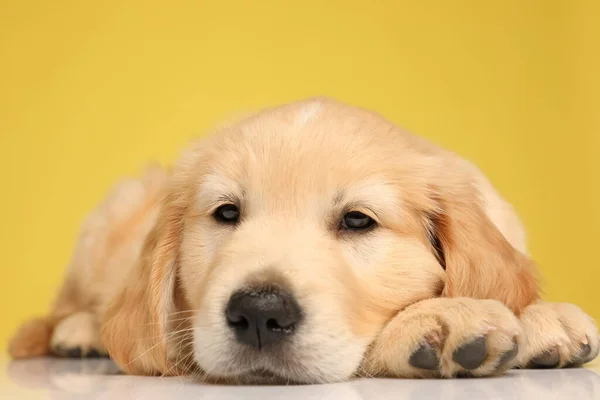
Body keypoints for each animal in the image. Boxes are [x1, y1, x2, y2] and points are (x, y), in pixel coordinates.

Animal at [9, 97, 600, 384]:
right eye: (227, 213)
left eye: (358, 221)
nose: (258, 313)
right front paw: (445, 319)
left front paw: (543, 318)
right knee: (85, 309)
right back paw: (82, 333)